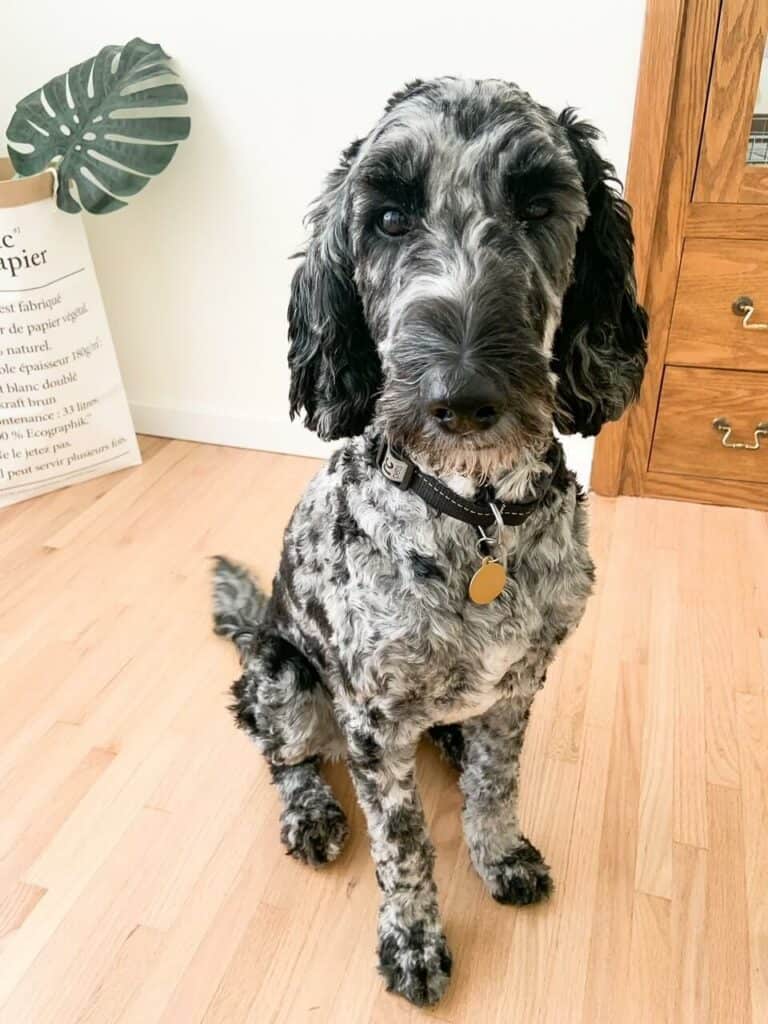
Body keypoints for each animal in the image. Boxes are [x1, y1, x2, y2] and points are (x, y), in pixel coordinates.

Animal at [211, 79, 651, 1007]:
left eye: (538, 205)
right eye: (386, 218)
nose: (464, 394)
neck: (474, 516)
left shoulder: (519, 685)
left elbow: (496, 783)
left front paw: (501, 853)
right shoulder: (374, 723)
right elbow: (405, 844)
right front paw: (413, 941)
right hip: (283, 680)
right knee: (280, 753)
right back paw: (311, 810)